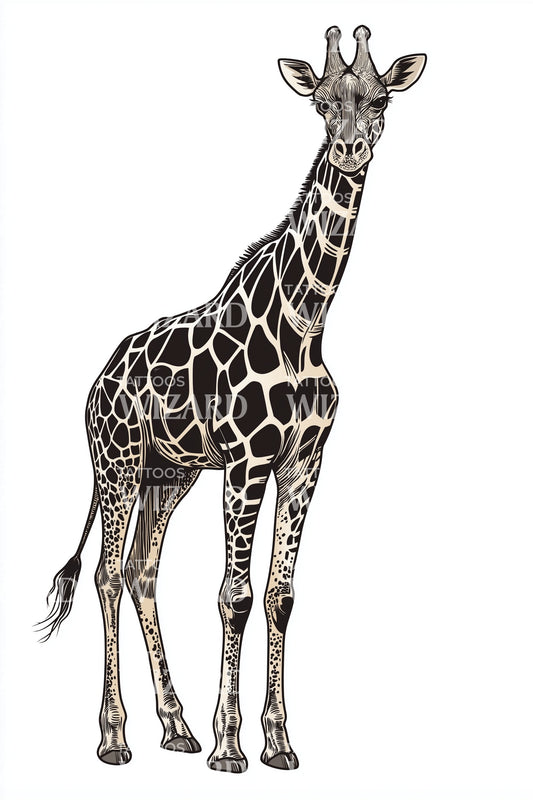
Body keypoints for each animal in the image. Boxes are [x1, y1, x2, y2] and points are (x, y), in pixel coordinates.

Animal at [38, 25, 426, 772]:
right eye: (322, 102)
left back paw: (174, 727)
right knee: (107, 573)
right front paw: (229, 746)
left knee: (142, 571)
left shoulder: (303, 464)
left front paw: (277, 741)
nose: (351, 147)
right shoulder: (247, 462)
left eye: (381, 98)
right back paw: (116, 738)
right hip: (117, 463)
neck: (307, 320)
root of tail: (98, 379)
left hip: (169, 472)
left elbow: (279, 596)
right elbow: (234, 595)